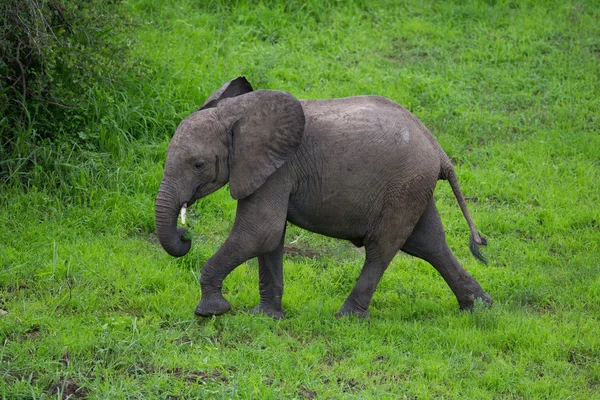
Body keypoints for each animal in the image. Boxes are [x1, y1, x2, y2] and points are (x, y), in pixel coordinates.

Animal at [156, 75, 492, 318]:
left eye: (198, 165)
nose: (186, 235)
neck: (236, 113)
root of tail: (438, 149)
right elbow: (269, 239)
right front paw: (265, 317)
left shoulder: (278, 170)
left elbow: (259, 233)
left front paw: (211, 312)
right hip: (414, 186)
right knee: (428, 243)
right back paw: (479, 307)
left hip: (404, 186)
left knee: (382, 249)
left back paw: (347, 317)